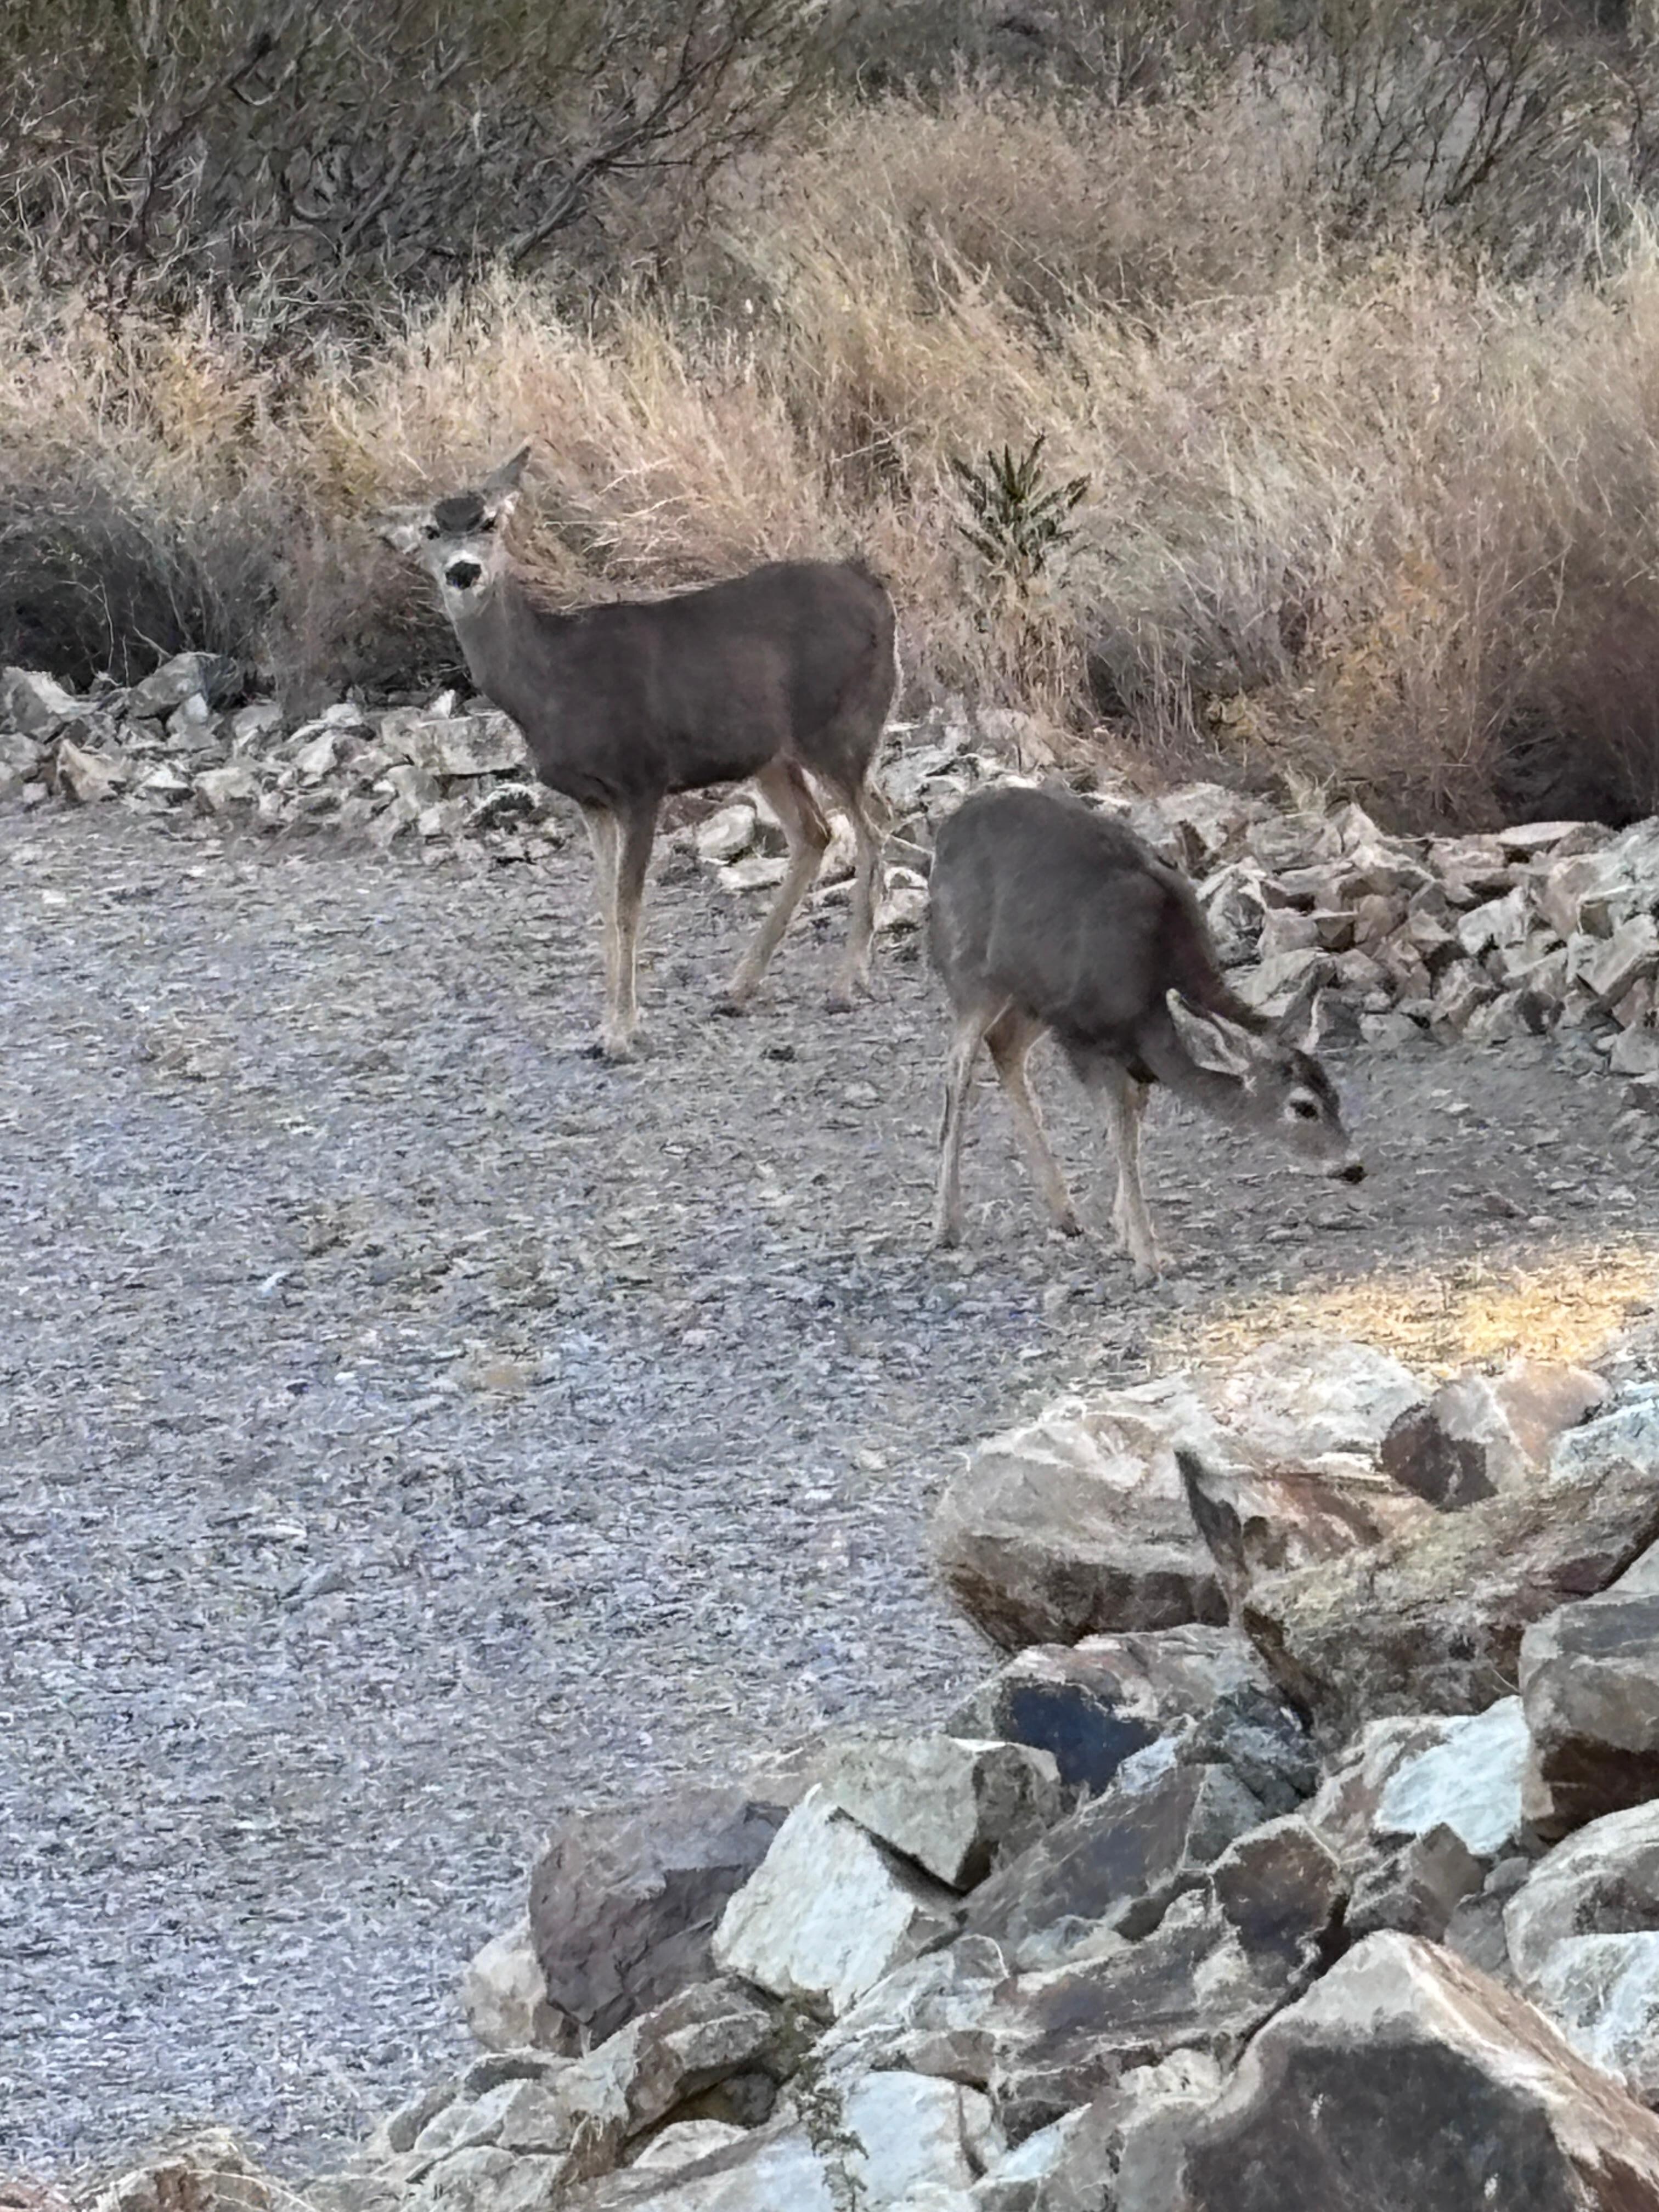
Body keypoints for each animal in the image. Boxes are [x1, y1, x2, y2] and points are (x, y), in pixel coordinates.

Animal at [380, 444, 896, 1060]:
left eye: (489, 521)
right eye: (431, 530)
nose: (464, 571)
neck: (552, 681)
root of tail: (873, 589)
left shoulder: (642, 779)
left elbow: (629, 905)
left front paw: (624, 1032)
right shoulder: (590, 799)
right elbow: (604, 905)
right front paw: (605, 1027)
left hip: (840, 724)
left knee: (875, 824)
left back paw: (848, 981)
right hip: (771, 754)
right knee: (816, 833)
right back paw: (739, 986)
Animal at [927, 783, 1363, 1282]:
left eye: (1335, 1095)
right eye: (1303, 1107)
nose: (1353, 1167)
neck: (1152, 998)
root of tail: (946, 832)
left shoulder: (1131, 1053)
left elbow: (1132, 1129)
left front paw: (1124, 1232)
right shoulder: (1089, 1038)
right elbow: (1121, 1137)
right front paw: (1147, 1255)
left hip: (1031, 991)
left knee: (1004, 1047)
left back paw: (1064, 1213)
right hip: (972, 974)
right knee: (958, 1069)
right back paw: (946, 1224)